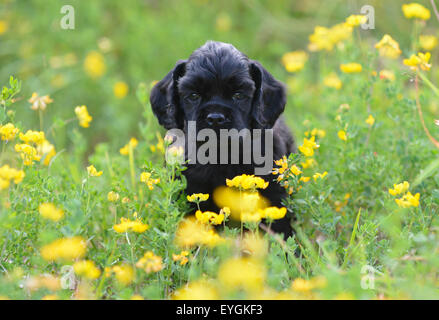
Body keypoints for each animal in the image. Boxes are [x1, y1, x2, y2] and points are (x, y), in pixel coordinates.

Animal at [150, 41, 296, 238]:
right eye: (194, 95)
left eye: (239, 95)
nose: (215, 118)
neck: (221, 154)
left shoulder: (273, 191)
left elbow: (278, 226)